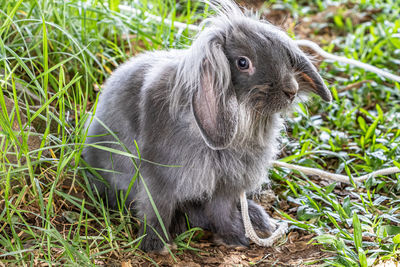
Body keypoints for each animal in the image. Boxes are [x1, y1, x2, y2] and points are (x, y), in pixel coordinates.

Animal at [81, 0, 332, 252]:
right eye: (243, 63)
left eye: (283, 57)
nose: (291, 90)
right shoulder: (159, 178)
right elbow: (156, 210)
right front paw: (156, 245)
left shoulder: (225, 185)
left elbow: (221, 212)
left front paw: (234, 239)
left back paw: (258, 220)